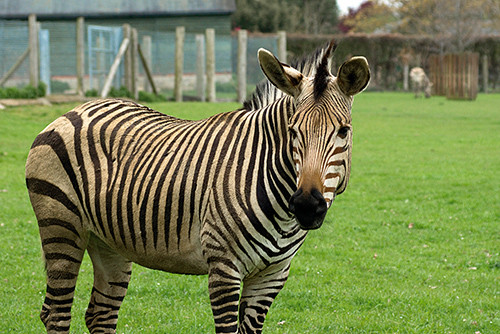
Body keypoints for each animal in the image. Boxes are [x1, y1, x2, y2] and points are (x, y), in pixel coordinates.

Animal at [26, 40, 372, 332]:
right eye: (293, 131)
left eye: (343, 131)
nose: (306, 206)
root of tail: (77, 109)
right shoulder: (224, 267)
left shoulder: (272, 275)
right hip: (61, 225)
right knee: (56, 313)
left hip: (108, 240)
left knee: (99, 314)